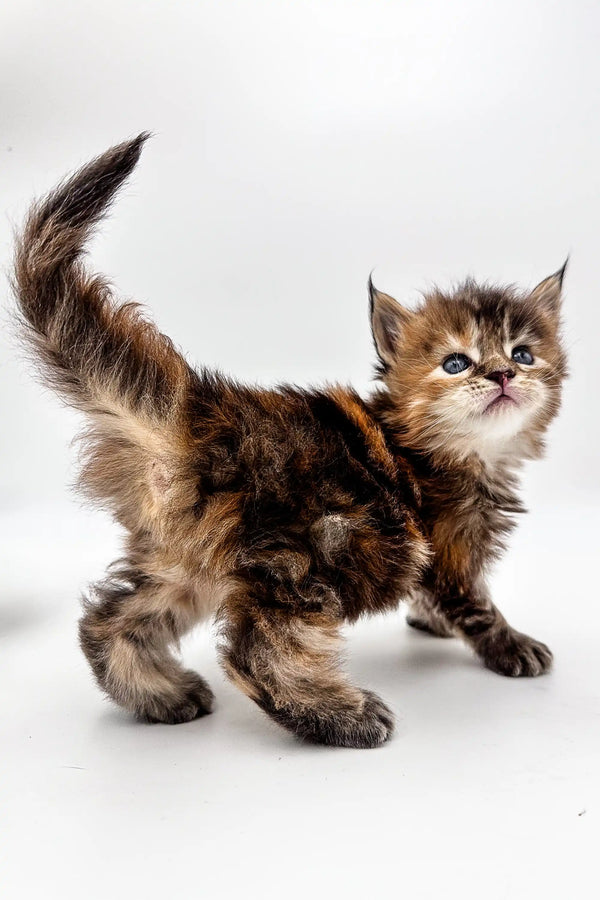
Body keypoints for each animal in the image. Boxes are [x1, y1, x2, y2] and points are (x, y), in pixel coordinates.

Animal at [14, 134, 568, 748]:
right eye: (455, 363)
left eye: (523, 353)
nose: (502, 375)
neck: (459, 451)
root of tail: (199, 417)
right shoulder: (448, 546)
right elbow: (476, 605)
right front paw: (512, 647)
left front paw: (429, 622)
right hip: (306, 557)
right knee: (257, 649)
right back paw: (341, 714)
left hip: (183, 561)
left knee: (108, 620)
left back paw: (160, 694)